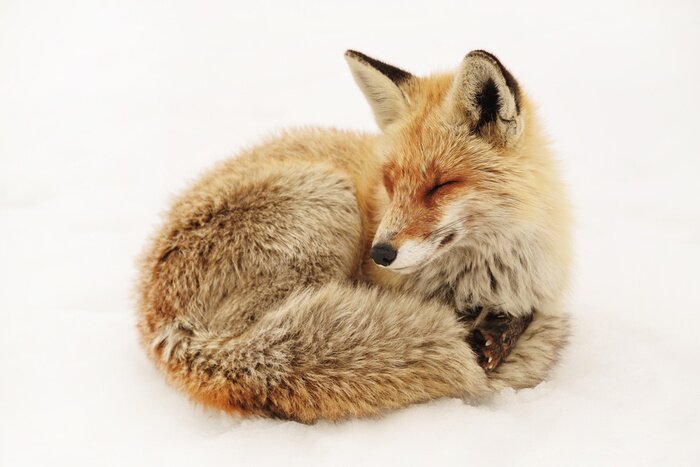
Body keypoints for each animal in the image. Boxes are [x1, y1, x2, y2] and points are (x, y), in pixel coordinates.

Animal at [136, 49, 571, 423]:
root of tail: (164, 328)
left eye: (441, 186)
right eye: (390, 182)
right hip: (328, 199)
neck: (486, 272)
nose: (380, 253)